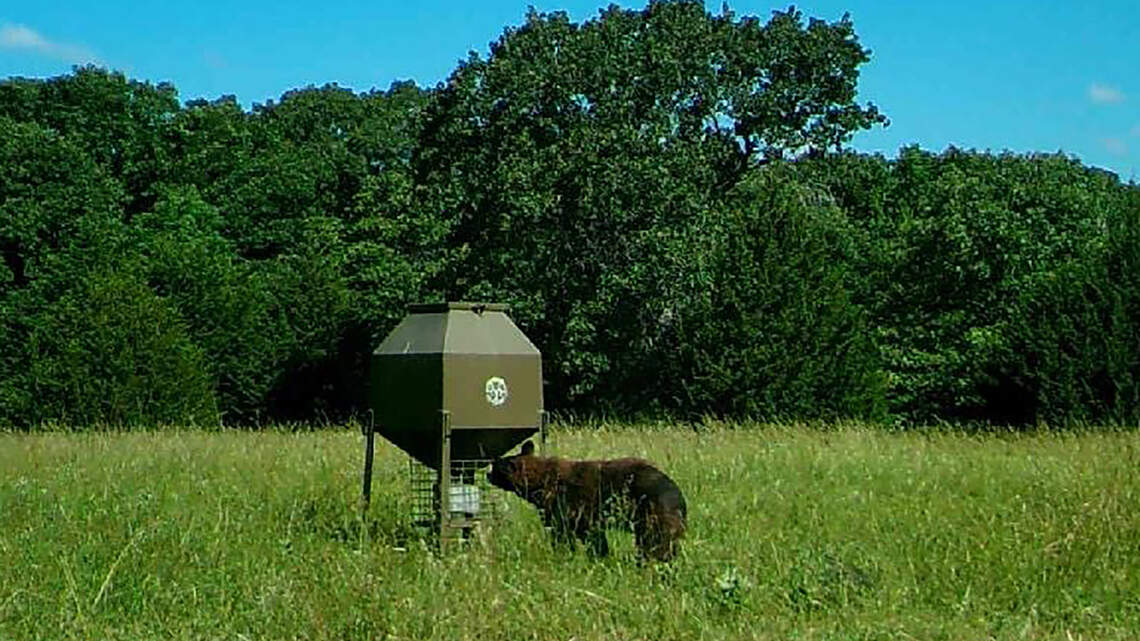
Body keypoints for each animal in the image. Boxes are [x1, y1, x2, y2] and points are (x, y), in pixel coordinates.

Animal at [488, 440, 686, 562]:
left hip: (652, 512)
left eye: (495, 468)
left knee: (655, 543)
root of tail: (678, 495)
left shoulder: (571, 505)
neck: (542, 482)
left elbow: (575, 533)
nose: (487, 474)